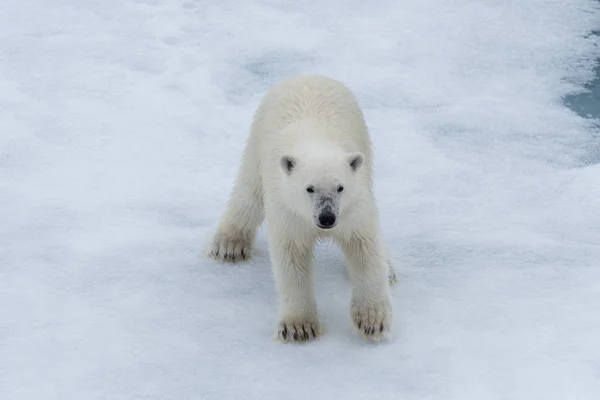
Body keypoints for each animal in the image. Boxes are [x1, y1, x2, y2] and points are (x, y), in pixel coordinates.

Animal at [209, 75, 396, 344]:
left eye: (340, 187)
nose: (327, 218)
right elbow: (292, 257)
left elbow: (365, 247)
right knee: (249, 192)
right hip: (257, 138)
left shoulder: (354, 207)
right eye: (309, 188)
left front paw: (372, 322)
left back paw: (390, 269)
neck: (317, 143)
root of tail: (308, 76)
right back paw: (229, 246)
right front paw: (299, 327)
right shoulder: (288, 209)